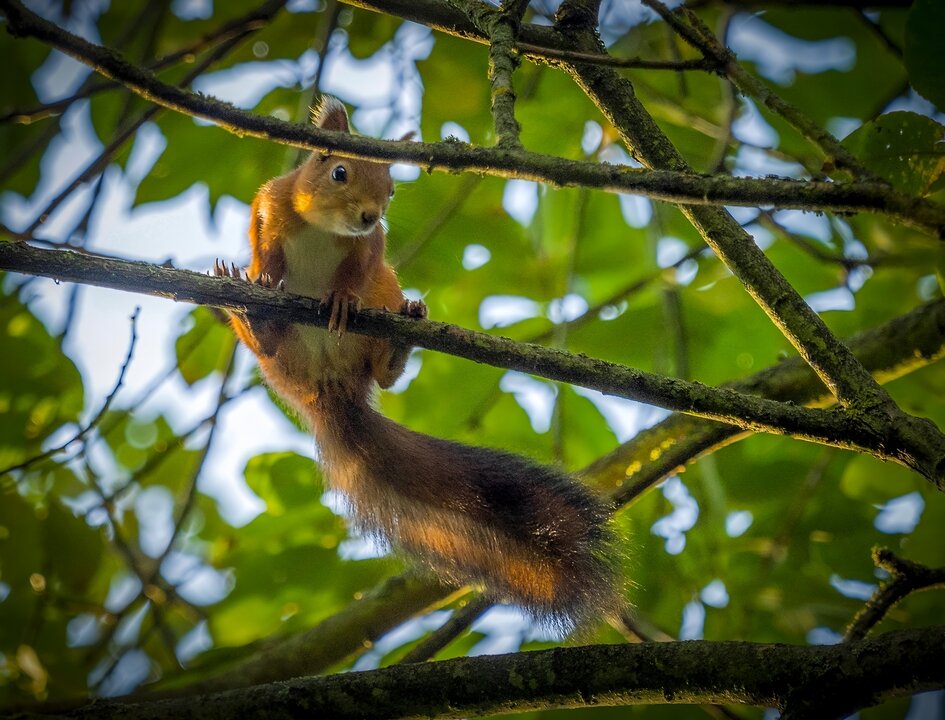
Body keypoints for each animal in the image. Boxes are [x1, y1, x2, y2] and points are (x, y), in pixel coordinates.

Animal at [214, 97, 620, 632]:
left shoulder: (371, 248)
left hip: (384, 291)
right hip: (278, 362)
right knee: (269, 346)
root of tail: (327, 387)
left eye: (391, 189)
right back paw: (251, 316)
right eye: (340, 172)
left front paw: (341, 298)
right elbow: (263, 243)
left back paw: (398, 338)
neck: (321, 226)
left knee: (382, 368)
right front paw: (262, 276)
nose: (370, 215)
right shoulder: (269, 204)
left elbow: (359, 267)